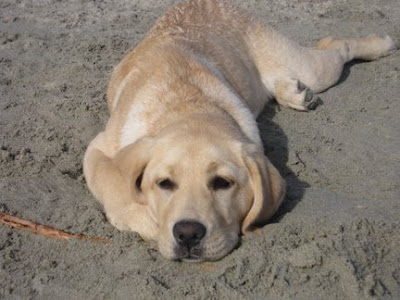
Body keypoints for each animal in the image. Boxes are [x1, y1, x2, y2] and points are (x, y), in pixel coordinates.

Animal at [83, 0, 396, 260]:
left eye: (222, 183)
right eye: (164, 183)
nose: (187, 234)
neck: (187, 105)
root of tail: (198, 1)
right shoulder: (97, 148)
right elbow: (115, 183)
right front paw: (148, 218)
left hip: (311, 69)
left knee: (335, 45)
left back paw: (382, 43)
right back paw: (295, 93)